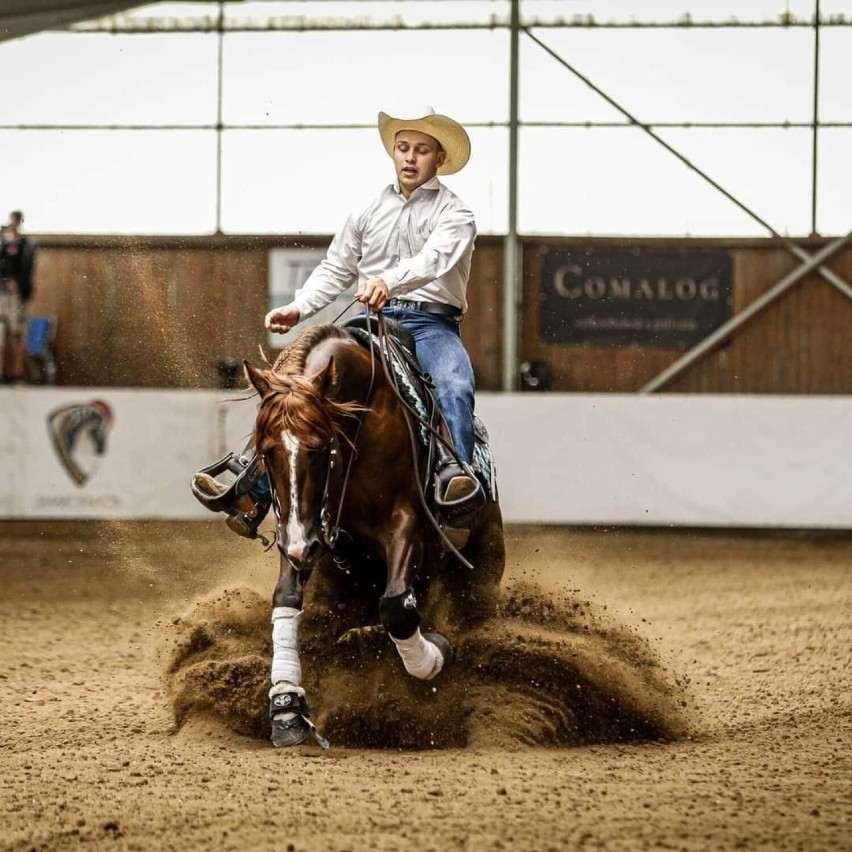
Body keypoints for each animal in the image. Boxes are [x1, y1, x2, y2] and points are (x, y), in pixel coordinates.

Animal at [243, 318, 502, 744]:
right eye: (267, 451)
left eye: (319, 448)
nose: (299, 549)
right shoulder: (302, 529)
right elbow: (286, 599)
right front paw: (286, 706)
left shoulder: (406, 522)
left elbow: (397, 607)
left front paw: (434, 655)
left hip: (482, 575)